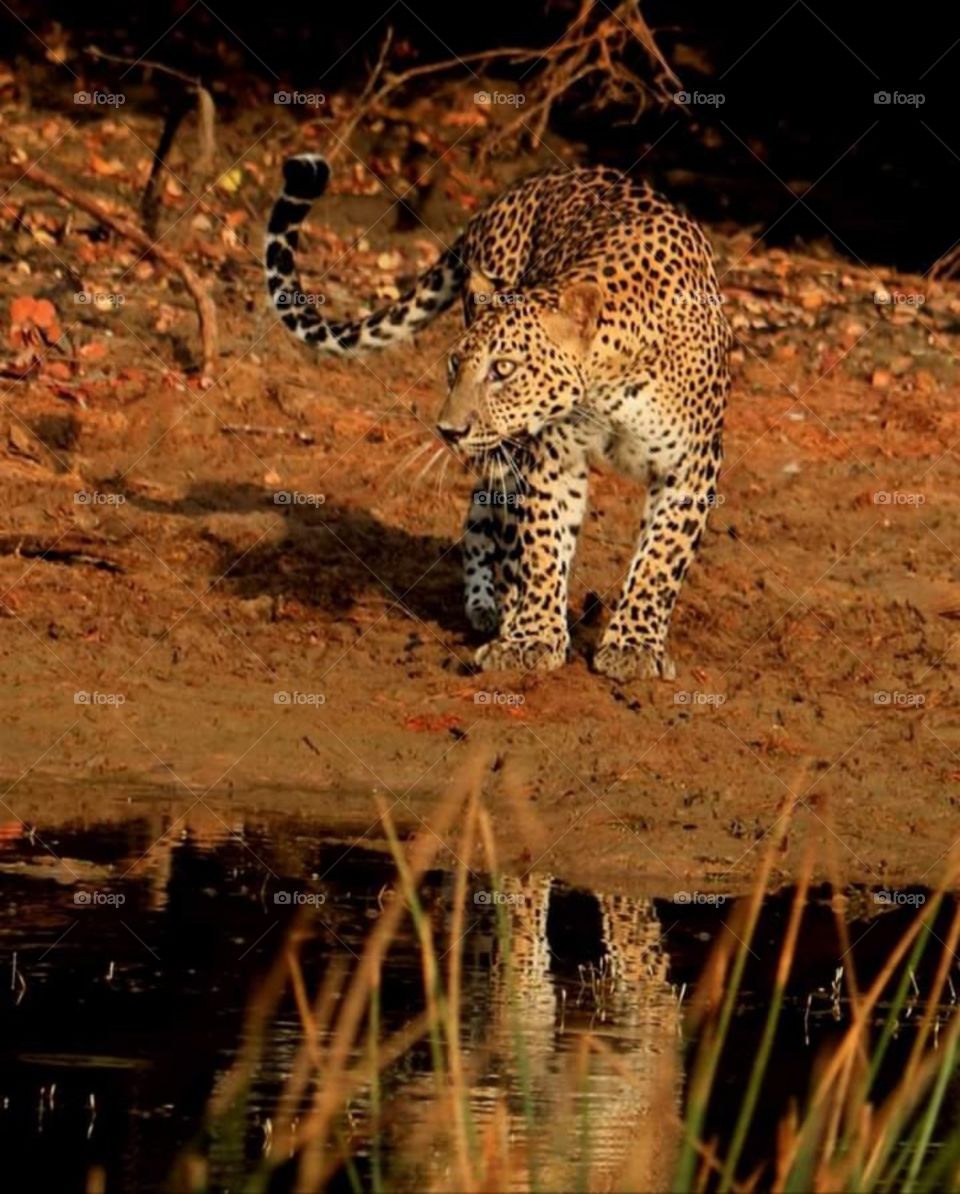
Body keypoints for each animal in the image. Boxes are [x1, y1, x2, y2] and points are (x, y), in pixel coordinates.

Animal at [265, 154, 730, 681]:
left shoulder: (691, 465)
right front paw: (532, 638)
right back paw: (496, 608)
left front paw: (632, 646)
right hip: (507, 448)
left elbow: (659, 559)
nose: (448, 431)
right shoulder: (552, 460)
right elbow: (542, 547)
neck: (606, 386)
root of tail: (508, 194)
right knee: (491, 515)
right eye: (455, 364)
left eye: (503, 369)